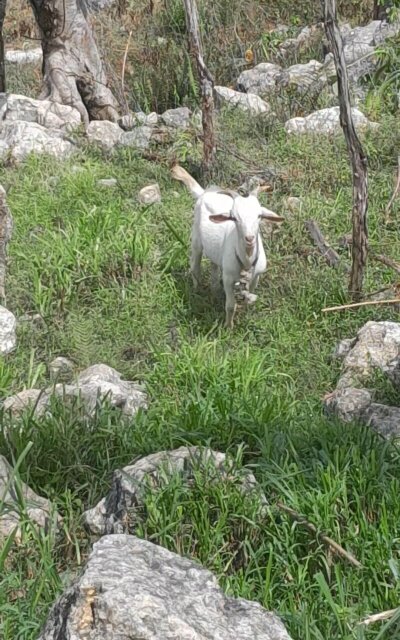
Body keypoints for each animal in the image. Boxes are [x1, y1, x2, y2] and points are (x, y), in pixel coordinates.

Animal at [171, 165, 284, 328]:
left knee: (214, 266)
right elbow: (230, 306)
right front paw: (228, 327)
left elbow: (249, 294)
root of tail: (204, 193)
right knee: (195, 265)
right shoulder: (229, 279)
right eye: (234, 218)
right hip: (196, 238)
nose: (249, 238)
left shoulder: (256, 276)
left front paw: (245, 310)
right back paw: (197, 290)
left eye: (259, 216)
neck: (247, 261)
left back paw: (214, 290)